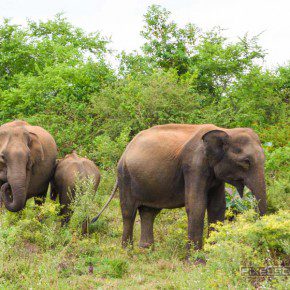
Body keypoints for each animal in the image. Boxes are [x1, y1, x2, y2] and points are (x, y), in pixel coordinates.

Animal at [92, 122, 266, 260]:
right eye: (246, 162)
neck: (225, 130)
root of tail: (125, 151)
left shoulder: (214, 175)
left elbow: (217, 206)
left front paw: (214, 254)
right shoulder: (194, 166)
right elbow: (196, 205)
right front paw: (196, 261)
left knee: (149, 212)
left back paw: (146, 250)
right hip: (125, 176)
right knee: (128, 212)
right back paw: (127, 253)